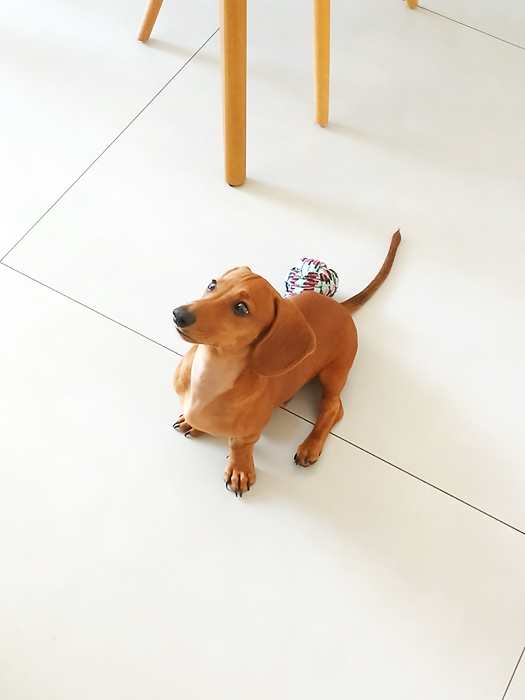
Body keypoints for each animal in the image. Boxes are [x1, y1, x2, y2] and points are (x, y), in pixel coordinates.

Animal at [173, 231, 401, 496]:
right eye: (212, 284)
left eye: (241, 308)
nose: (178, 314)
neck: (210, 373)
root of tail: (340, 306)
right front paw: (194, 423)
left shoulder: (250, 433)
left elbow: (239, 446)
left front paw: (240, 469)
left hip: (335, 372)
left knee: (334, 408)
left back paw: (311, 445)